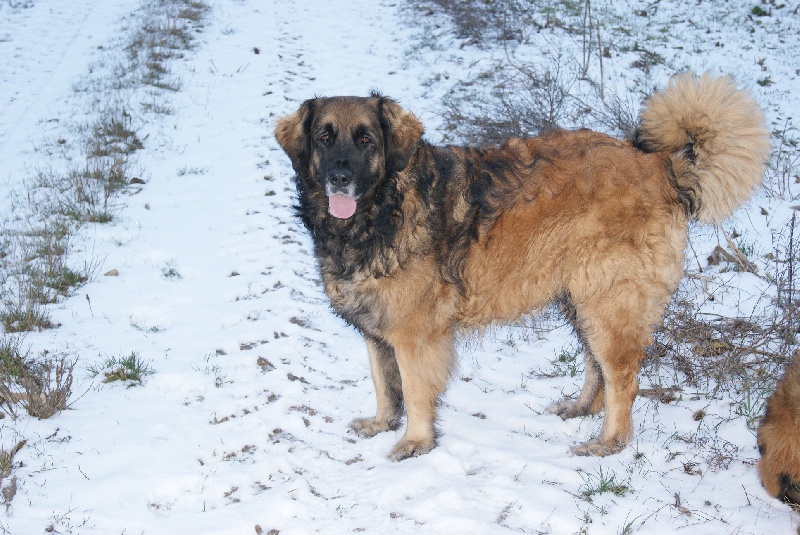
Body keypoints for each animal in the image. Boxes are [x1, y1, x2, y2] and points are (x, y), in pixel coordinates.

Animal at [274, 72, 768, 460]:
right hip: (581, 300)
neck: (383, 207)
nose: (339, 177)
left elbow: (413, 392)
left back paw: (608, 443)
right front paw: (381, 423)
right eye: (324, 137)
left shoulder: (415, 336)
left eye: (366, 140)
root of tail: (659, 164)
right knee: (597, 369)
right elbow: (383, 383)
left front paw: (415, 443)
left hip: (609, 302)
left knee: (623, 380)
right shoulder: (377, 330)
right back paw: (580, 408)